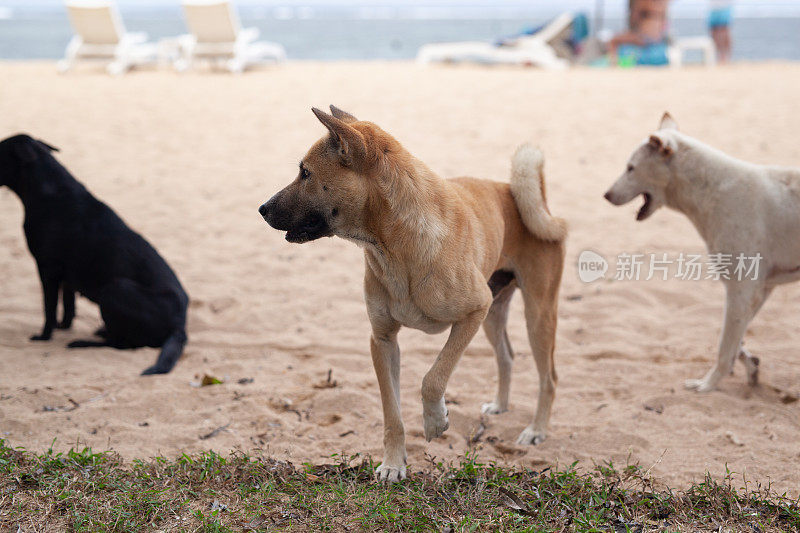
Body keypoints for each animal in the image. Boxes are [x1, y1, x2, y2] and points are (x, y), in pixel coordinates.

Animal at [0, 133, 188, 374]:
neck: (49, 191)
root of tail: (179, 326)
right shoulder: (66, 275)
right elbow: (68, 305)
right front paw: (63, 327)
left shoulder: (47, 269)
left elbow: (49, 307)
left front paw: (44, 336)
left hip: (116, 288)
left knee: (122, 345)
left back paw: (83, 343)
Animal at [260, 106, 564, 480]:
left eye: (305, 173)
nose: (261, 209)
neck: (394, 245)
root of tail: (520, 193)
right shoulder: (383, 341)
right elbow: (392, 414)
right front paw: (393, 463)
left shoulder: (472, 312)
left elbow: (433, 378)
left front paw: (435, 421)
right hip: (494, 313)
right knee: (506, 356)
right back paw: (500, 406)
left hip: (537, 315)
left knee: (548, 378)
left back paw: (536, 430)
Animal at [608, 114, 800, 390]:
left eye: (631, 168)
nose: (606, 195)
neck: (713, 191)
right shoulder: (759, 290)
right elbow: (736, 341)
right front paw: (750, 365)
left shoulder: (740, 289)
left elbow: (724, 347)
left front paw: (707, 385)